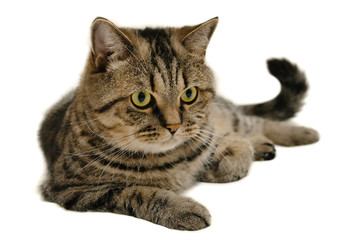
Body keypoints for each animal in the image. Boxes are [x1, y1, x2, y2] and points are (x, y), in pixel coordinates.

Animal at [39, 16, 320, 231]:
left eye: (189, 94)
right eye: (141, 98)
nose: (174, 127)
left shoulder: (207, 131)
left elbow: (234, 152)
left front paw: (225, 161)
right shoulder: (70, 188)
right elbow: (135, 191)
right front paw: (182, 208)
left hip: (227, 115)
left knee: (250, 120)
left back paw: (301, 133)